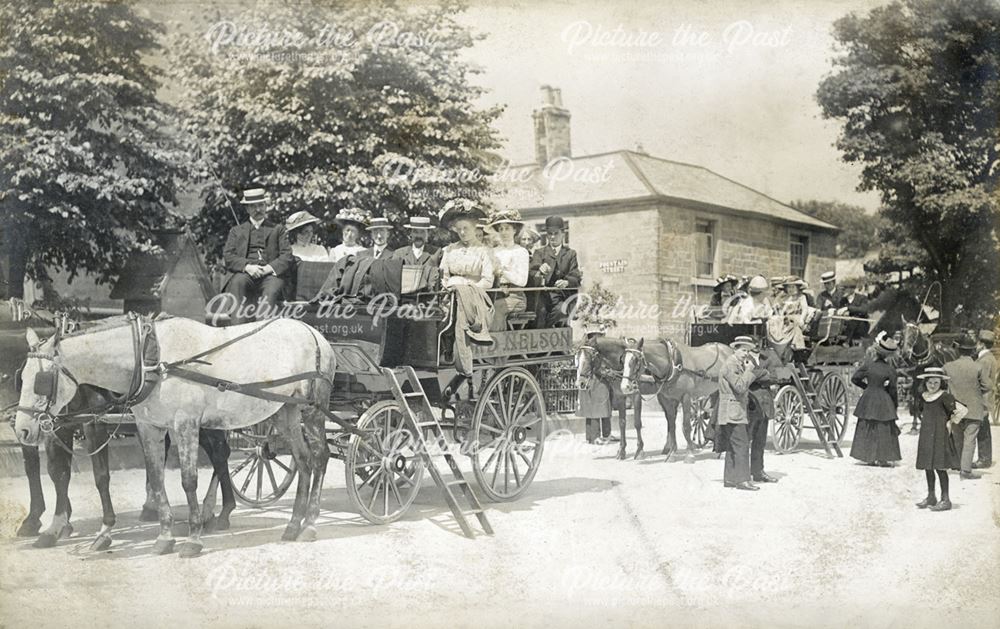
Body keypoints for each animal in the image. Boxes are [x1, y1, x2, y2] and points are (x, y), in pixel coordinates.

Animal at [15, 316, 336, 556]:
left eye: (42, 380)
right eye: (22, 377)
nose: (22, 430)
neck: (153, 360)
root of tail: (314, 333)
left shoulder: (185, 424)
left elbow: (188, 480)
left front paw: (192, 538)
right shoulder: (150, 427)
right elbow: (156, 480)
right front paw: (165, 537)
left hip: (312, 410)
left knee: (320, 458)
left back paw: (309, 524)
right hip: (286, 412)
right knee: (303, 461)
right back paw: (292, 524)